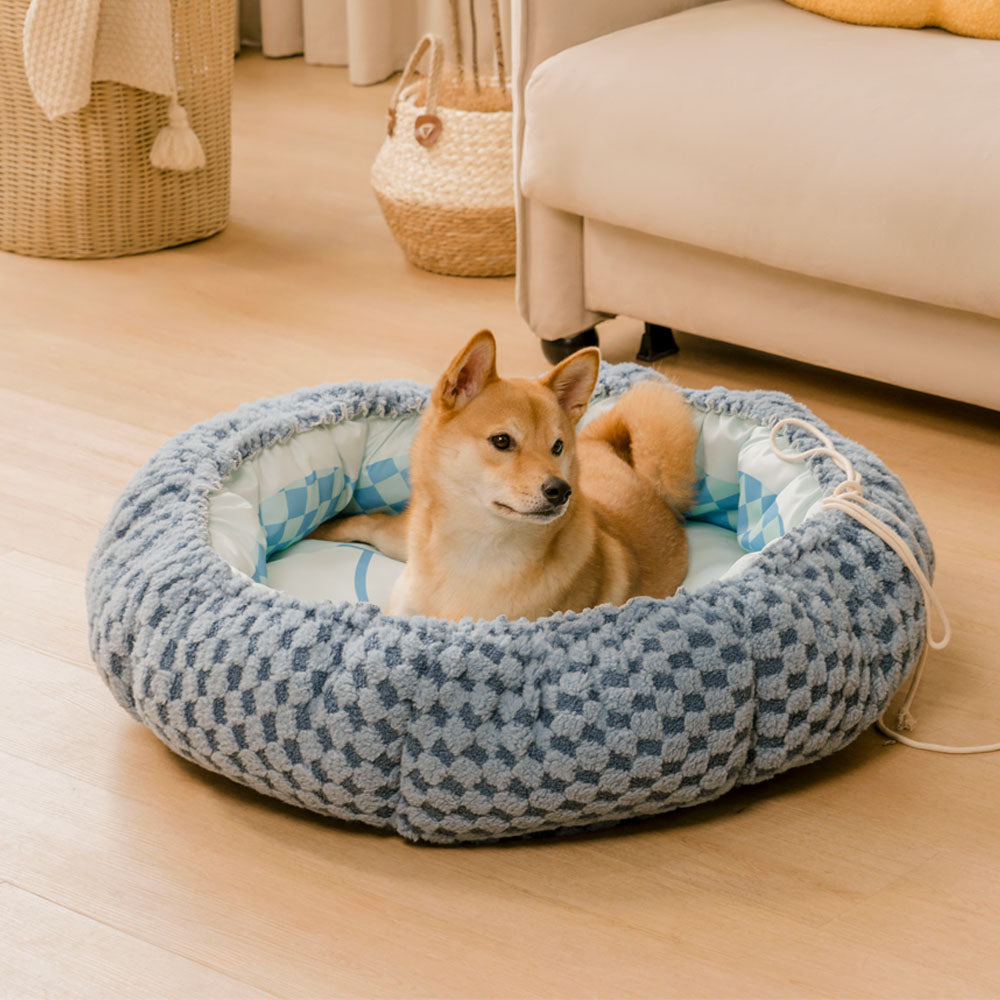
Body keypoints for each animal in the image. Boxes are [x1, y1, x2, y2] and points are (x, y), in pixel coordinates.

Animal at [312, 332, 696, 620]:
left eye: (557, 446)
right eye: (502, 441)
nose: (560, 490)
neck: (474, 555)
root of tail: (608, 449)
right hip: (398, 540)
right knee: (369, 521)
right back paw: (321, 528)